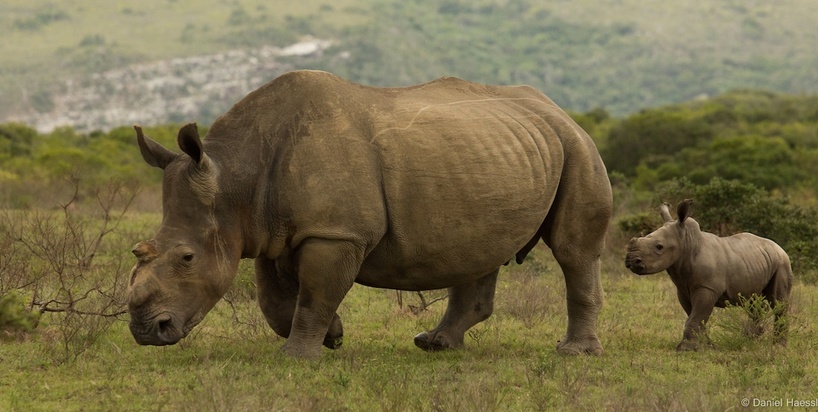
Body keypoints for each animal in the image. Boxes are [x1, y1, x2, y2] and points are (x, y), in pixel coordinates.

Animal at [128, 70, 613, 358]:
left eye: (187, 258)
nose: (146, 331)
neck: (234, 184)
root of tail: (556, 108)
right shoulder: (268, 231)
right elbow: (274, 300)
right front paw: (333, 336)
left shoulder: (336, 233)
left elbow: (314, 296)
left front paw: (298, 357)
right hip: (502, 151)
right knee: (480, 248)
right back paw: (435, 345)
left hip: (576, 146)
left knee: (574, 251)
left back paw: (575, 353)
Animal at [625, 199, 792, 351]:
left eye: (659, 247)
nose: (630, 261)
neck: (687, 242)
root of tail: (778, 246)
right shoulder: (683, 290)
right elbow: (696, 316)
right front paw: (707, 346)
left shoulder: (706, 287)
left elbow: (696, 316)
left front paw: (686, 349)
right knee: (752, 302)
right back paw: (749, 341)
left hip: (782, 262)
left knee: (778, 302)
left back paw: (778, 346)